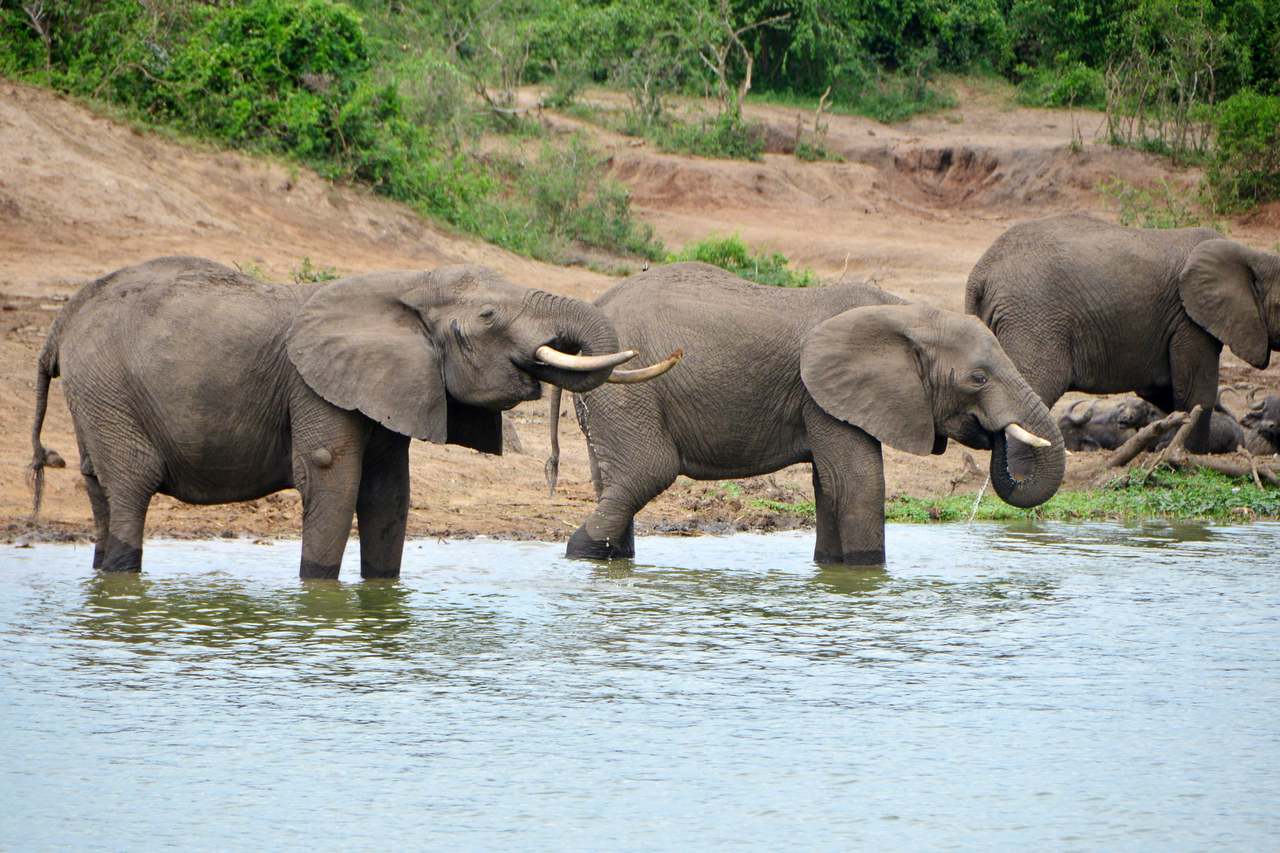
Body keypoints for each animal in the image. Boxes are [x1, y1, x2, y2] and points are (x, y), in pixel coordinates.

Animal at [27, 257, 670, 578]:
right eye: (489, 316)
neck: (402, 285)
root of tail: (59, 325)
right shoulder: (314, 387)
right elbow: (332, 477)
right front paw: (319, 594)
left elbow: (389, 492)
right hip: (109, 388)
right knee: (130, 486)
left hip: (97, 396)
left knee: (99, 486)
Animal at [545, 262, 1064, 560]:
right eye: (978, 378)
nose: (995, 434)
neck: (910, 313)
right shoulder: (823, 391)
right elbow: (859, 485)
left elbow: (829, 485)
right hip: (630, 388)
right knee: (648, 471)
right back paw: (580, 551)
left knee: (615, 482)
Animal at [967, 212, 1280, 450]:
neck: (1253, 256)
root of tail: (980, 274)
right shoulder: (1189, 320)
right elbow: (1196, 393)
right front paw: (1189, 457)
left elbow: (1164, 391)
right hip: (1033, 316)